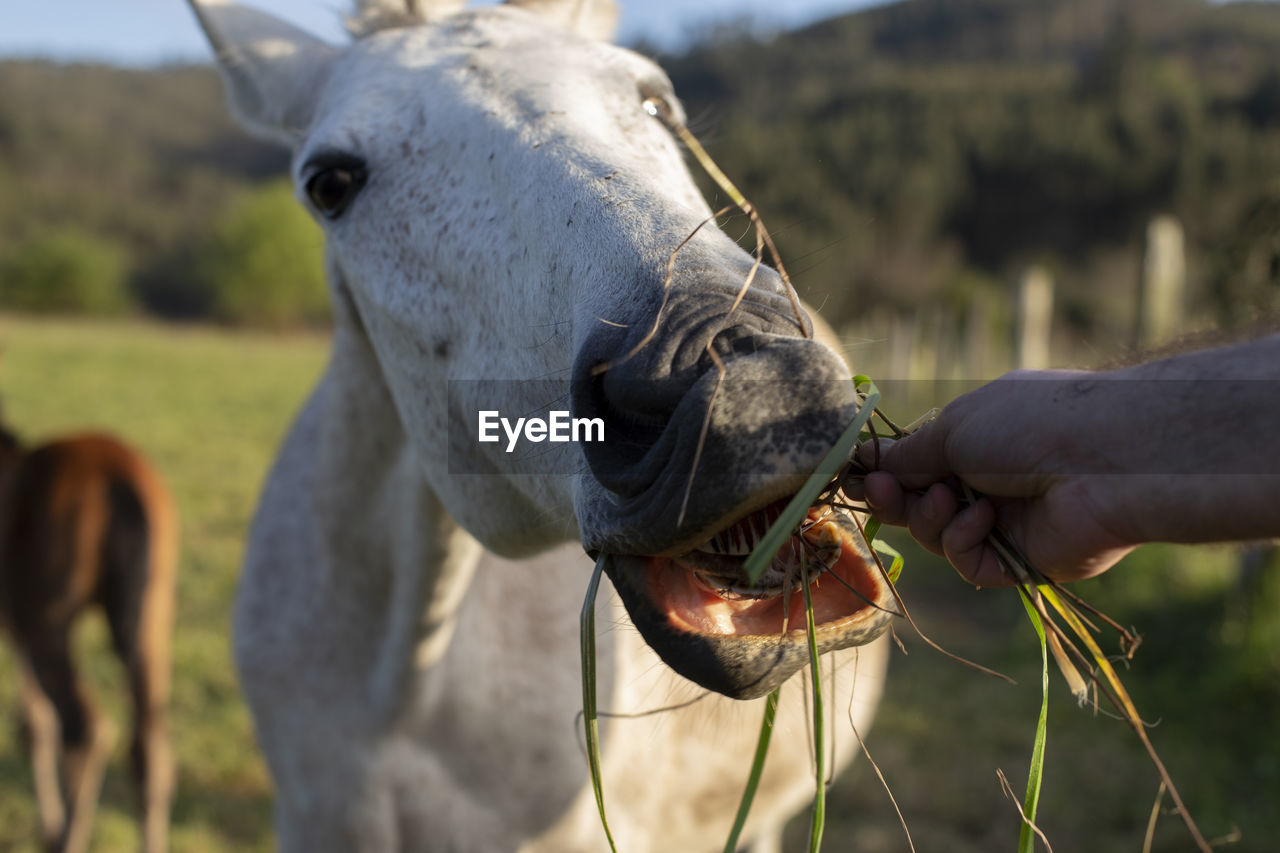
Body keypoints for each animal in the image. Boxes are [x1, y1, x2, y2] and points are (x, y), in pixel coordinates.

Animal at [0, 425, 177, 850]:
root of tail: (118, 477)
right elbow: (35, 724)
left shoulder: (19, 628)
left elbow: (35, 723)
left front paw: (50, 826)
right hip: (152, 622)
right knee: (149, 749)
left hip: (45, 621)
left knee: (85, 728)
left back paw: (67, 837)